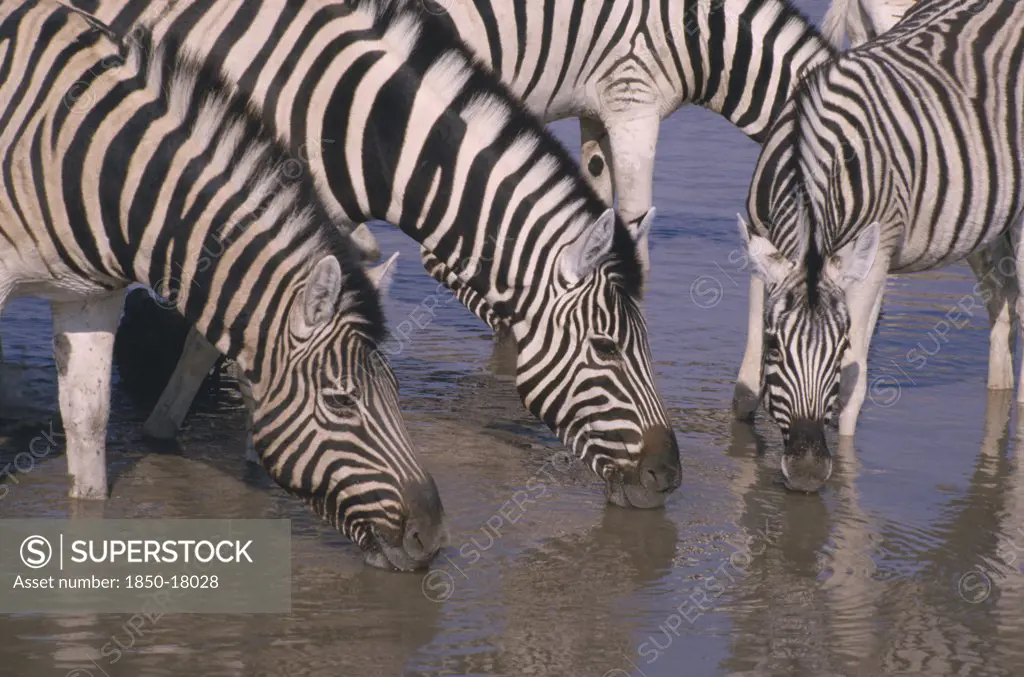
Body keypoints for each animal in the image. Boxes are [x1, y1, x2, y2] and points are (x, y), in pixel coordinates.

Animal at [741, 0, 1024, 491]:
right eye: (777, 347)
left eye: (838, 349)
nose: (808, 471)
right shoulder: (764, 250)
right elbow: (749, 370)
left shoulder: (874, 262)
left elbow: (852, 385)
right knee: (1002, 301)